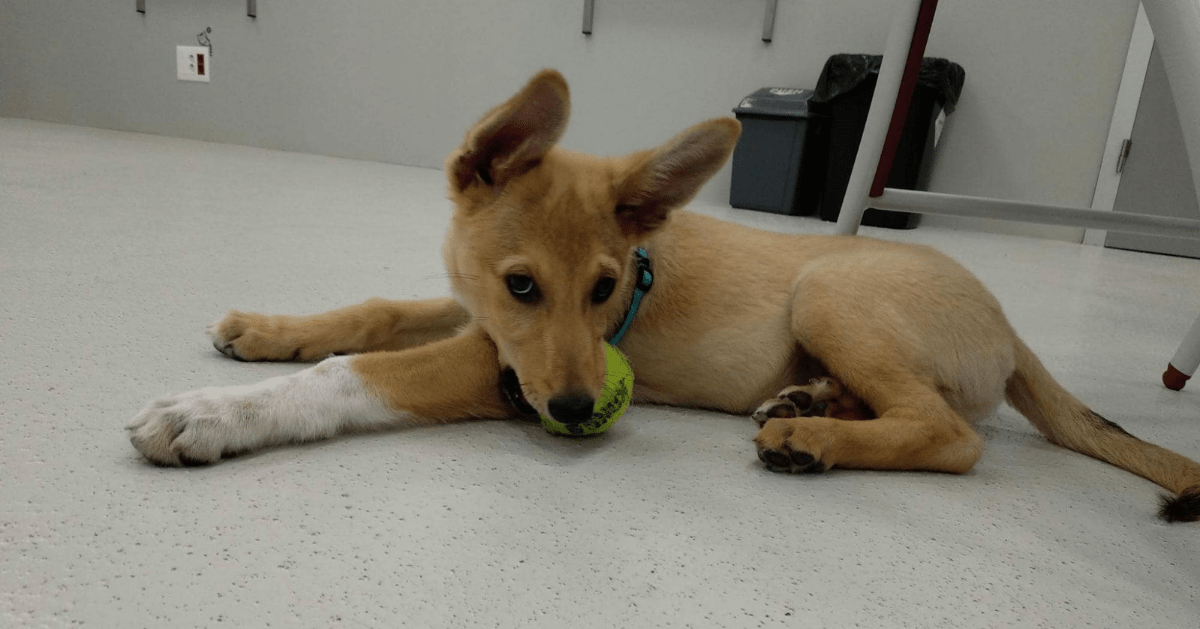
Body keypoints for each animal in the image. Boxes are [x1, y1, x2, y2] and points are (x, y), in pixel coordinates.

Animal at [126, 69, 1200, 520]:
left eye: (607, 289)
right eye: (525, 283)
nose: (569, 411)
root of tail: (1014, 329)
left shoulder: (491, 366)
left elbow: (353, 372)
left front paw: (213, 413)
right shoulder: (484, 319)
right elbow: (373, 311)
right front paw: (264, 328)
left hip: (828, 289)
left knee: (950, 434)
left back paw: (810, 436)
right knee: (911, 406)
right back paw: (810, 403)